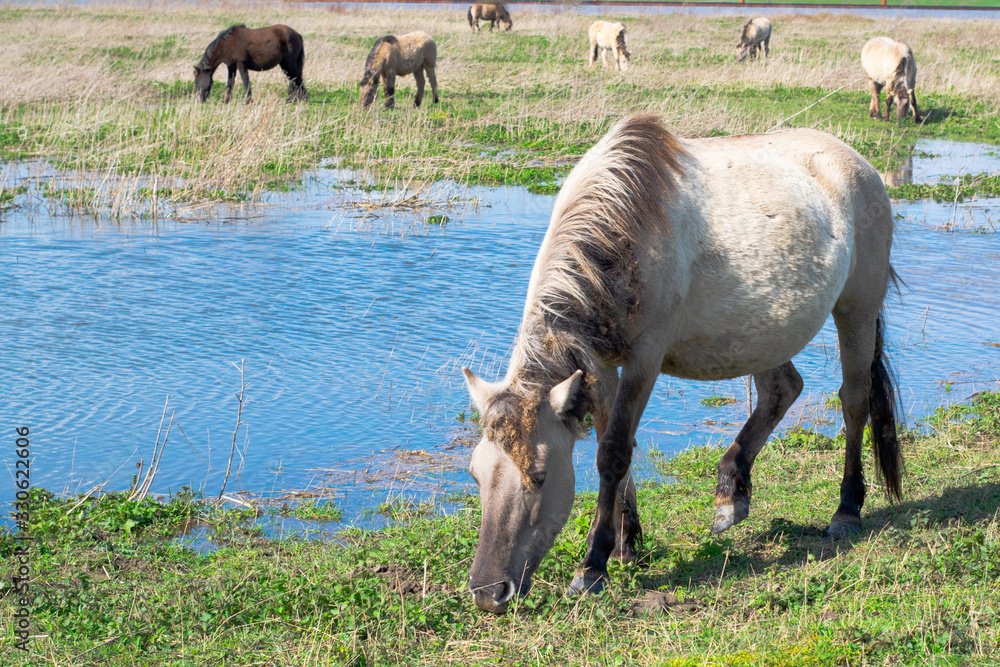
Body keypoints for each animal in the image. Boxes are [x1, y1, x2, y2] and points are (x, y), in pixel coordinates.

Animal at [462, 113, 902, 613]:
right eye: (476, 474)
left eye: (538, 477)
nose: (487, 592)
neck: (622, 230)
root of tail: (861, 166)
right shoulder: (599, 365)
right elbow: (613, 447)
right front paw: (625, 543)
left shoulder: (644, 361)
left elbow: (613, 452)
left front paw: (592, 566)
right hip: (765, 333)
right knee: (782, 391)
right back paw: (731, 493)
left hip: (857, 311)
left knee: (854, 402)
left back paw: (846, 510)